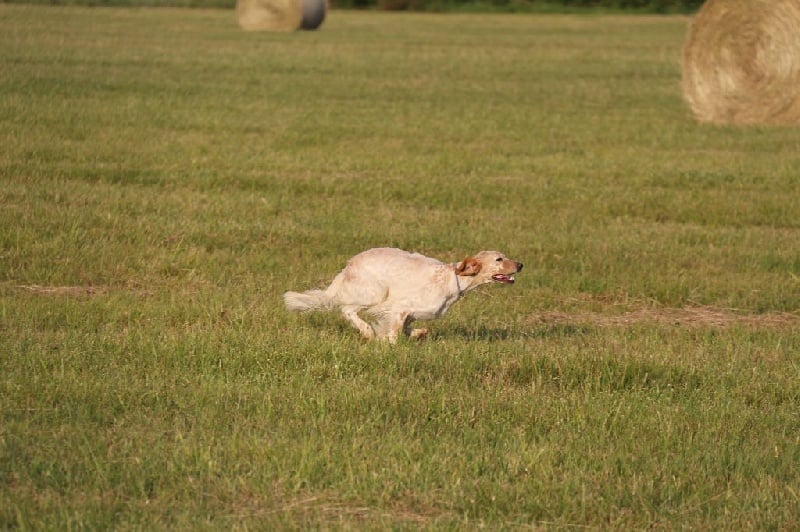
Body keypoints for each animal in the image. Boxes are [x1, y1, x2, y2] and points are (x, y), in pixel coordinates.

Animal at [284, 247, 520, 342]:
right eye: (499, 259)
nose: (520, 265)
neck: (452, 279)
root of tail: (349, 265)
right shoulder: (398, 308)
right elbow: (395, 334)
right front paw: (385, 342)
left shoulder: (410, 315)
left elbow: (410, 329)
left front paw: (417, 333)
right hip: (375, 292)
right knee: (347, 310)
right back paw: (366, 331)